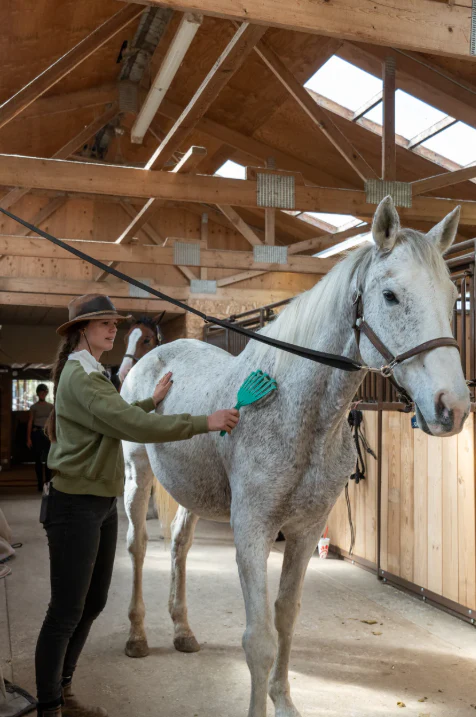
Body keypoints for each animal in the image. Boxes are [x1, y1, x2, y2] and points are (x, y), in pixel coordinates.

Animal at [120, 197, 470, 717]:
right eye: (390, 296)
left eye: (451, 297)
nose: (454, 408)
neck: (295, 413)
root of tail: (155, 356)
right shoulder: (252, 530)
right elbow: (259, 640)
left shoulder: (305, 531)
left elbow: (286, 619)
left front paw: (283, 701)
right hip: (137, 475)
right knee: (139, 547)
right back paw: (138, 636)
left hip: (192, 491)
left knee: (180, 544)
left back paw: (182, 630)